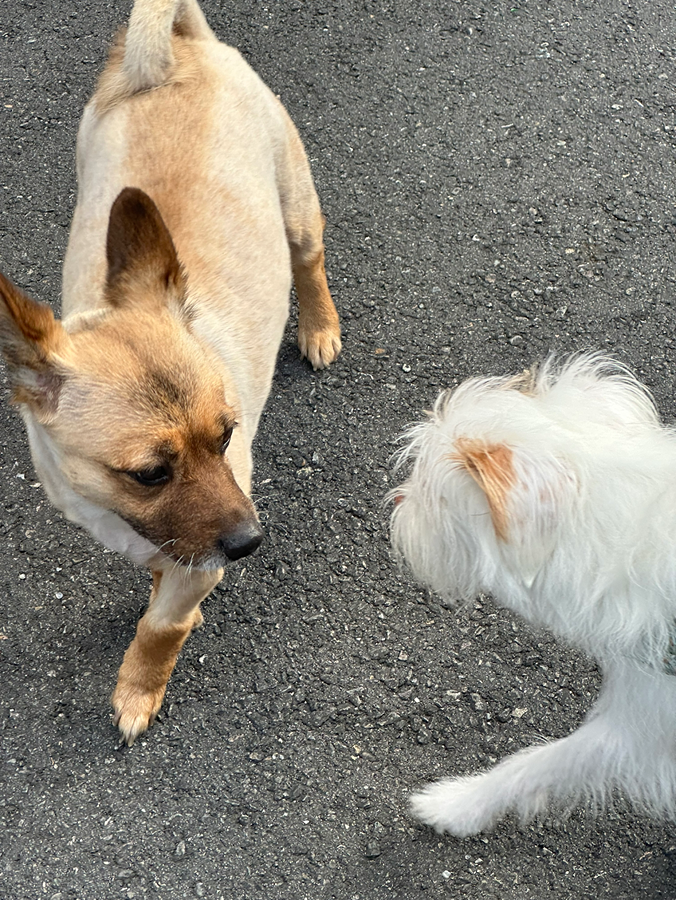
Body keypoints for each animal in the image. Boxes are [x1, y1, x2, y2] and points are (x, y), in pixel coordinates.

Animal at [0, 0, 340, 744]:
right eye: (150, 473)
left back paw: (320, 326)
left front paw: (138, 688)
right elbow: (165, 572)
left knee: (309, 259)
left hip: (295, 201)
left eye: (227, 435)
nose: (251, 542)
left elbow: (161, 628)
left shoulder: (196, 565)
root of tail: (180, 52)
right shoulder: (174, 539)